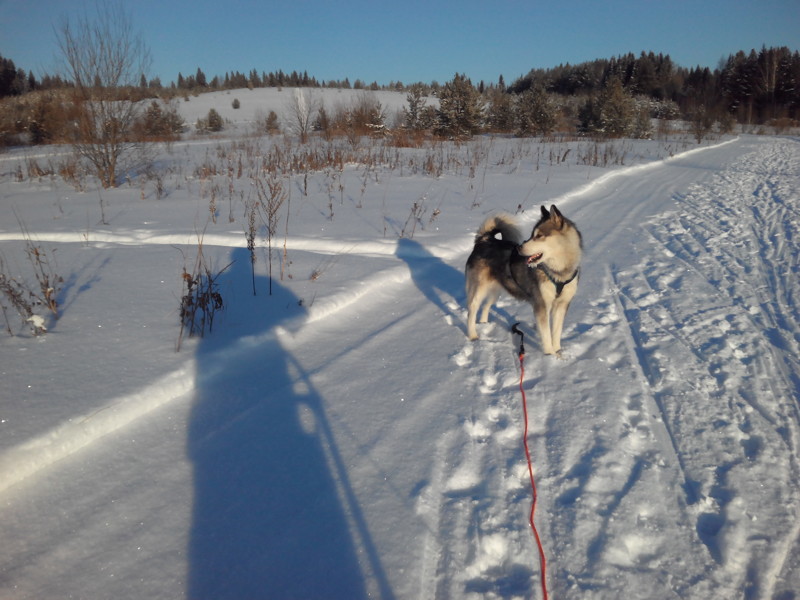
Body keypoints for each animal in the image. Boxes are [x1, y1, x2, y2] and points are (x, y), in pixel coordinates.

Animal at [462, 206, 580, 356]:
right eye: (531, 234)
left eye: (539, 236)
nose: (519, 248)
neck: (558, 272)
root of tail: (485, 239)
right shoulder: (542, 304)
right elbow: (546, 334)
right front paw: (549, 355)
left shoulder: (562, 304)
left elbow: (556, 332)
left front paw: (558, 353)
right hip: (479, 288)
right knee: (472, 309)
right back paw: (473, 335)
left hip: (496, 291)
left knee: (486, 306)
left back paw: (484, 324)